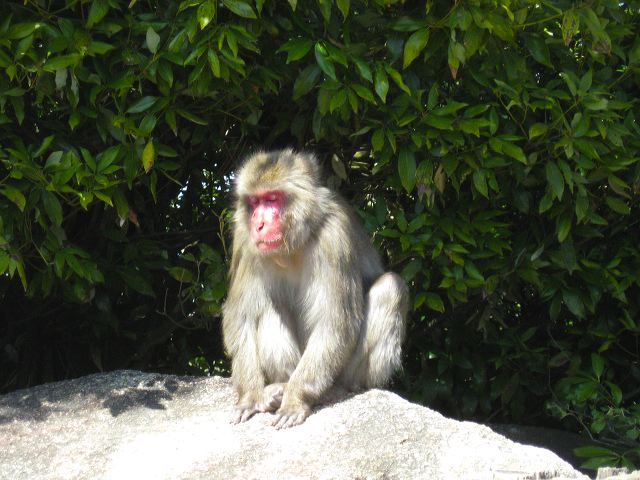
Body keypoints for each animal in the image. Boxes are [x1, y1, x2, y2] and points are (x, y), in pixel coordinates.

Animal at [222, 149, 408, 428]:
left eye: (272, 199)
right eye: (254, 202)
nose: (258, 224)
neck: (293, 244)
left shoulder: (335, 235)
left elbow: (335, 324)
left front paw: (295, 400)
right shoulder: (244, 239)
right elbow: (241, 317)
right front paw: (249, 398)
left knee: (391, 287)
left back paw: (336, 390)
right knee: (265, 307)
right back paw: (278, 388)